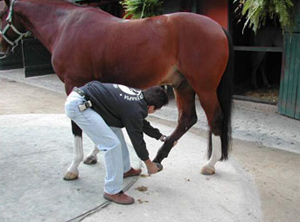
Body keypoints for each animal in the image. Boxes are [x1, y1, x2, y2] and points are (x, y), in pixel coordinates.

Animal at [0, 0, 233, 180]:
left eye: (1, 13)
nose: (2, 48)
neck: (66, 25)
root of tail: (217, 27)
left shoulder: (73, 85)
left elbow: (78, 126)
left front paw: (73, 167)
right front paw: (94, 155)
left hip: (203, 87)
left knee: (214, 118)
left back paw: (210, 165)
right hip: (182, 85)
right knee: (187, 119)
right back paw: (158, 158)